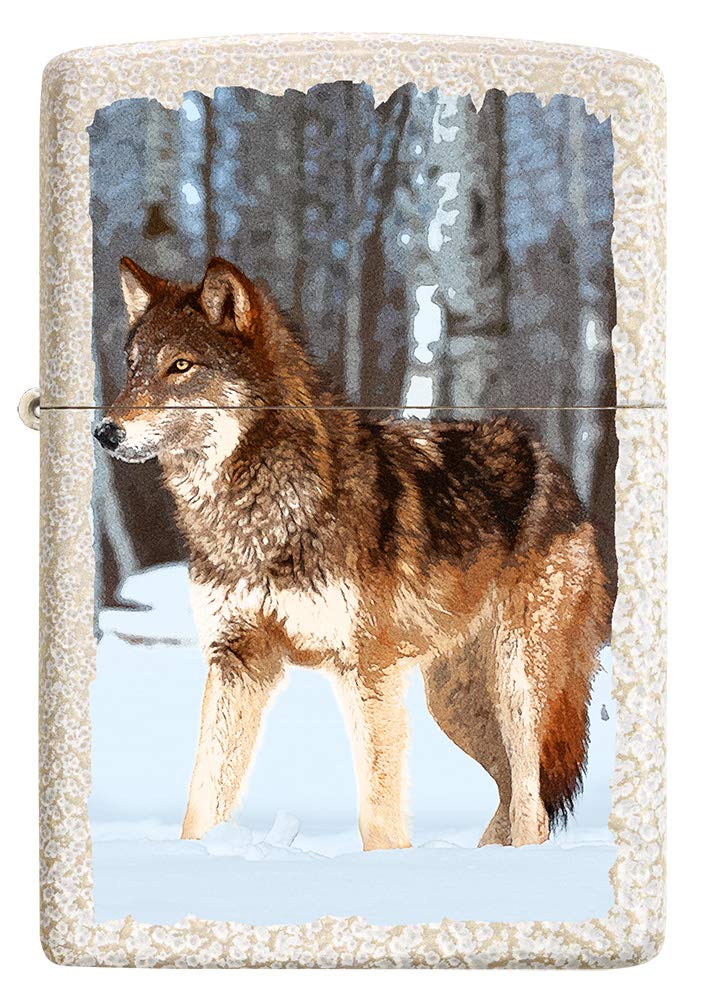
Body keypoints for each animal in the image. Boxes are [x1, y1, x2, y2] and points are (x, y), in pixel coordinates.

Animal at [94, 256, 612, 850]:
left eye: (180, 366)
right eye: (132, 368)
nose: (104, 432)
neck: (261, 515)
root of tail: (554, 467)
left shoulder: (366, 670)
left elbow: (378, 813)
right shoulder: (237, 661)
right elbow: (202, 796)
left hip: (518, 686)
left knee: (532, 803)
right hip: (454, 705)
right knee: (511, 792)